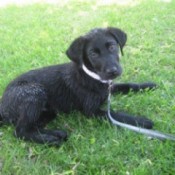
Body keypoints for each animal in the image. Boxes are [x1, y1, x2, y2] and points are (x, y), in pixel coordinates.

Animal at [0, 27, 156, 145]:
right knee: (19, 131)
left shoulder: (109, 87)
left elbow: (126, 85)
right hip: (34, 93)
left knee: (31, 127)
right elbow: (116, 115)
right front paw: (140, 121)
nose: (112, 71)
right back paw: (51, 140)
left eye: (112, 46)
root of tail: (2, 107)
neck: (91, 76)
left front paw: (147, 85)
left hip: (49, 111)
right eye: (93, 53)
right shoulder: (91, 111)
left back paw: (57, 133)